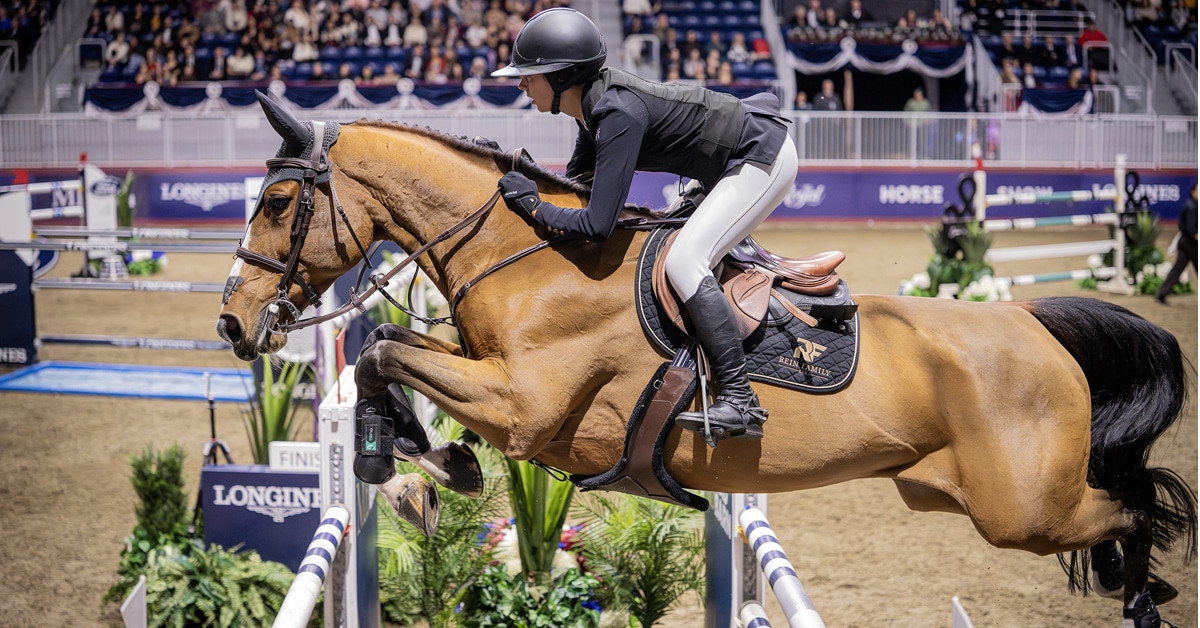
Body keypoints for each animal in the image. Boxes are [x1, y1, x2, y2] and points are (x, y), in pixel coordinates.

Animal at [217, 92, 1195, 625]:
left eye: (277, 203)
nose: (231, 324)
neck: (530, 257)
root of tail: (1035, 326)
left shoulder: (527, 411)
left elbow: (385, 348)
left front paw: (409, 461)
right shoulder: (485, 373)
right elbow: (385, 355)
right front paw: (426, 462)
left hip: (1022, 510)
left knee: (1135, 506)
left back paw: (1142, 593)